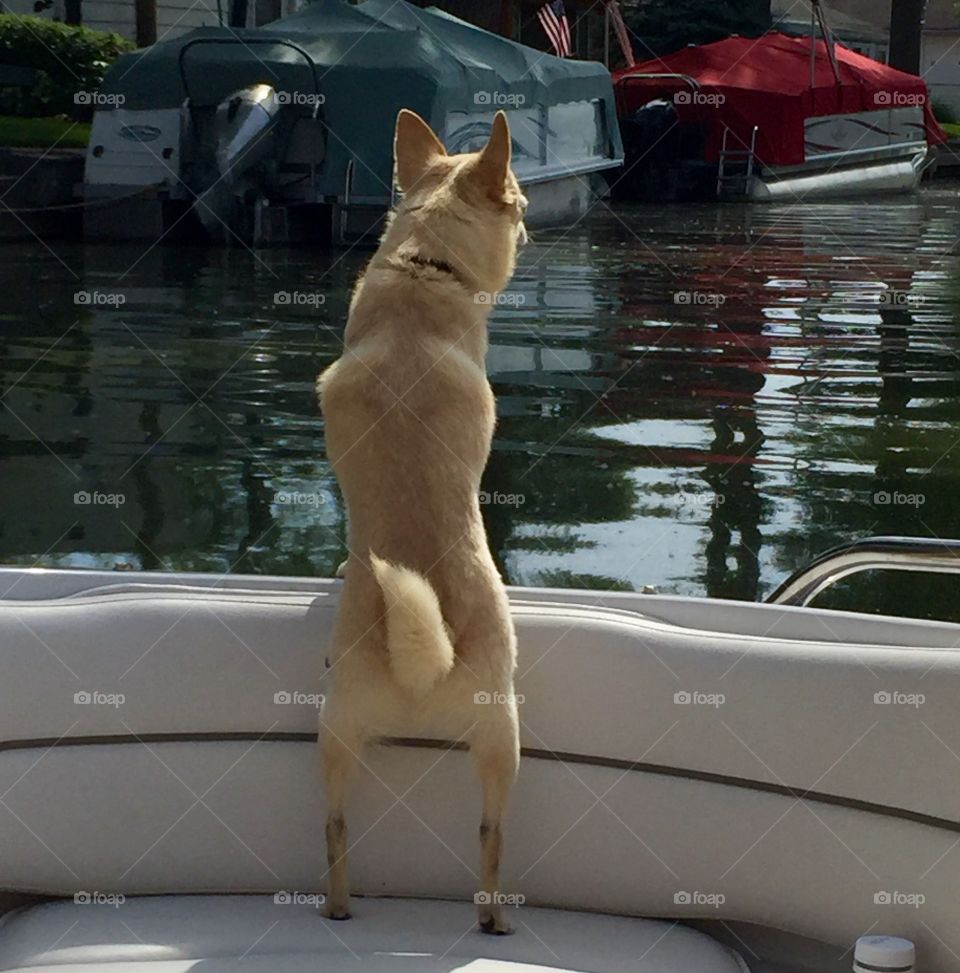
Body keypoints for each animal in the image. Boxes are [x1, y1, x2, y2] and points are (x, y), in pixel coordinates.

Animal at [316, 106, 524, 936]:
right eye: (521, 205)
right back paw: (495, 920)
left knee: (336, 828)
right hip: (505, 739)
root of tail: (420, 671)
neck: (421, 264)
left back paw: (338, 908)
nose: (530, 224)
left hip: (334, 732)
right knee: (491, 836)